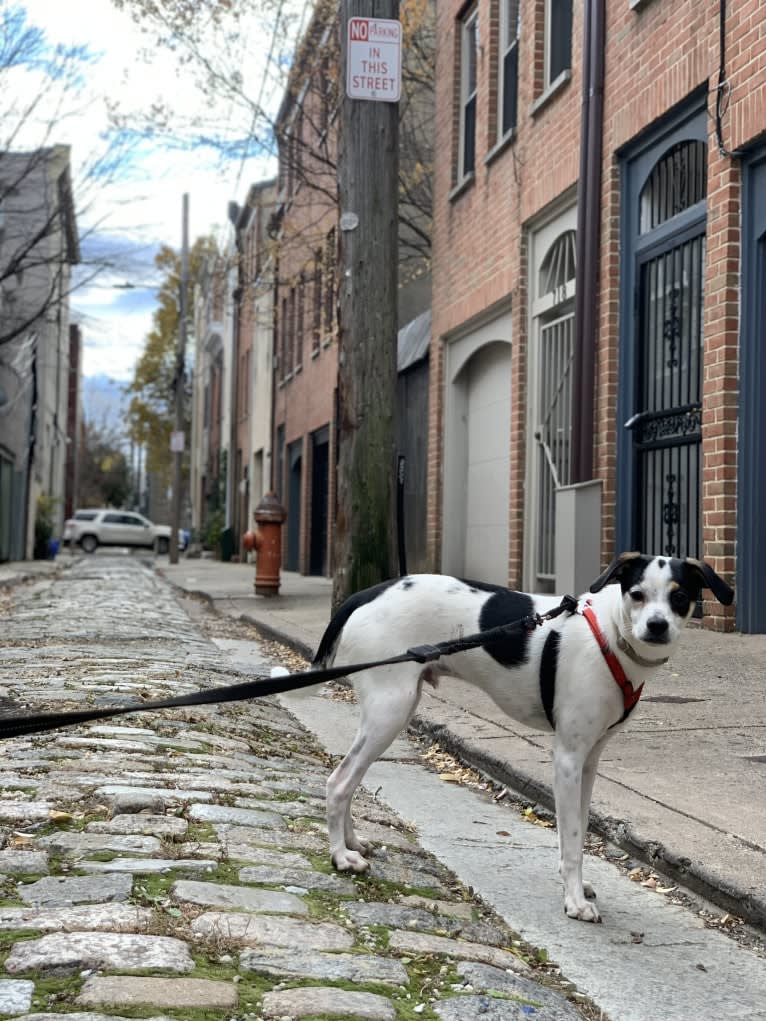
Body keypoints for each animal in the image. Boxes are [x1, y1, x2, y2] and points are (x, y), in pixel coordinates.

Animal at [312, 555, 739, 922]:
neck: (611, 636)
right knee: (338, 782)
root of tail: (364, 594)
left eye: (679, 597)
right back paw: (341, 857)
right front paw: (574, 902)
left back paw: (352, 843)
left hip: (390, 713)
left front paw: (576, 886)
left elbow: (578, 830)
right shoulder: (567, 759)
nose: (657, 626)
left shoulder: (589, 761)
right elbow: (571, 836)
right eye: (637, 594)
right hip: (391, 710)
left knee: (348, 779)